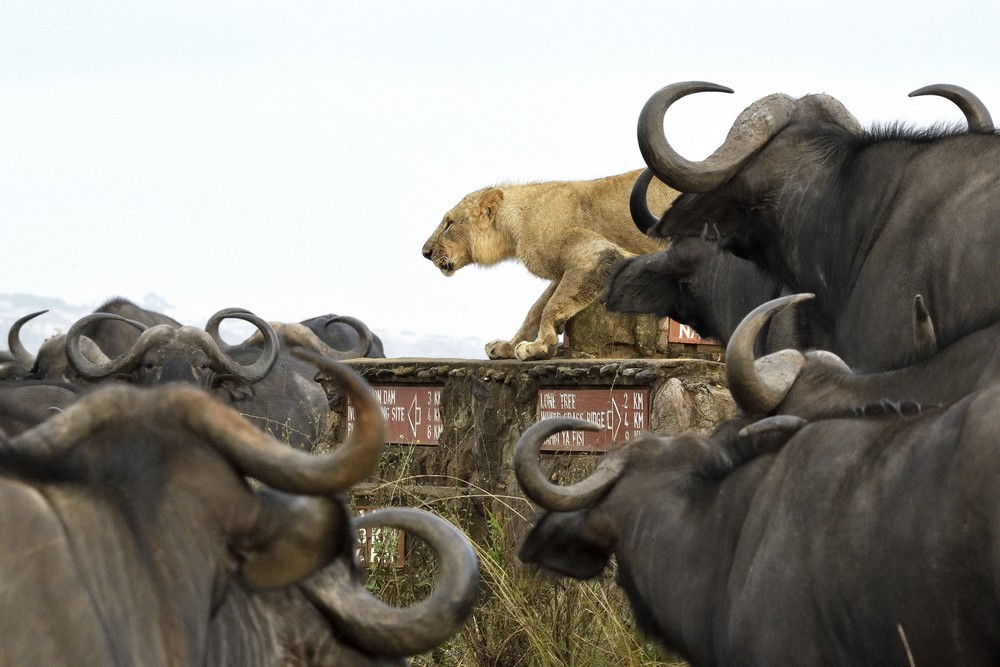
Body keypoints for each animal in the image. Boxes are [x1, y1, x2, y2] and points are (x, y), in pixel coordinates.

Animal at [418, 170, 676, 362]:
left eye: (449, 224)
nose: (425, 253)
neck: (514, 226)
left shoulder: (595, 254)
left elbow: (551, 307)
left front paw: (540, 347)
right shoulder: (563, 271)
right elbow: (536, 309)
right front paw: (509, 346)